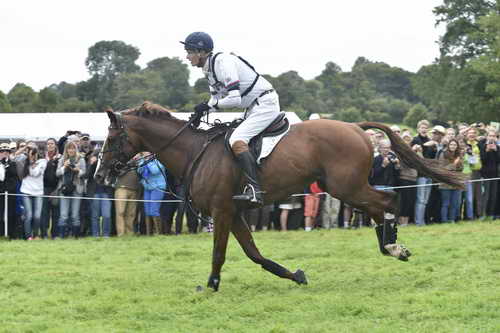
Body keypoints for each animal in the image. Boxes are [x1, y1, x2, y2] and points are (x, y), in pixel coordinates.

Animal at [94, 101, 464, 290]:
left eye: (111, 140)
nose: (99, 176)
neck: (194, 151)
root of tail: (355, 127)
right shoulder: (235, 213)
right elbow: (254, 254)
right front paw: (295, 275)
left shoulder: (222, 211)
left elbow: (219, 254)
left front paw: (210, 285)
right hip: (343, 188)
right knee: (380, 206)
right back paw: (392, 246)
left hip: (346, 187)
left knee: (388, 202)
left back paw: (393, 246)